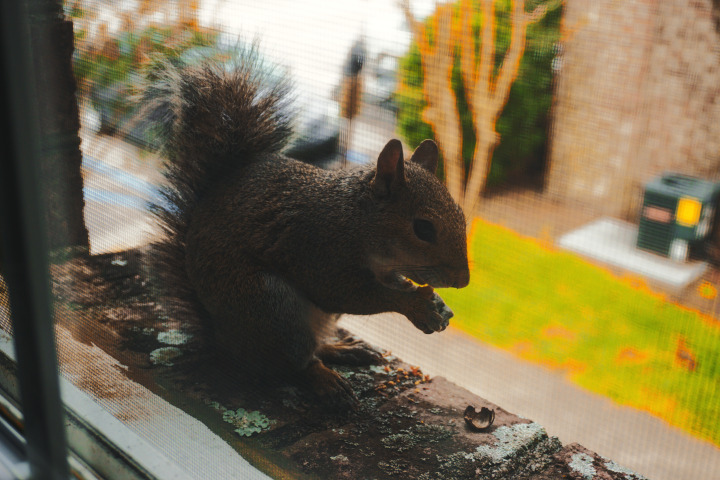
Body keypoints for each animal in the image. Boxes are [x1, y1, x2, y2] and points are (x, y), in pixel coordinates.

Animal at [143, 48, 470, 406]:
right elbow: (348, 293)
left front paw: (436, 303)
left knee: (315, 347)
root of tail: (222, 341)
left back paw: (342, 350)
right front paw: (416, 305)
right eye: (423, 228)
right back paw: (325, 379)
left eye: (462, 216)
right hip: (269, 307)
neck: (356, 220)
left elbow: (392, 284)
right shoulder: (318, 249)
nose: (464, 280)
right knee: (295, 363)